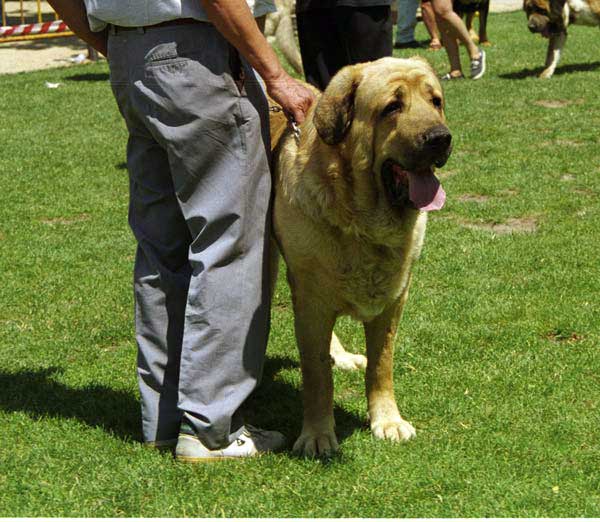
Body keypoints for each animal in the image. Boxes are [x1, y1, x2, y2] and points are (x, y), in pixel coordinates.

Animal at [270, 58, 450, 456]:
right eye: (392, 107)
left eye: (436, 102)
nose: (440, 138)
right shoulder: (311, 300)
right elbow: (316, 375)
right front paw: (318, 434)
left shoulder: (394, 301)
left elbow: (381, 365)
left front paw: (388, 420)